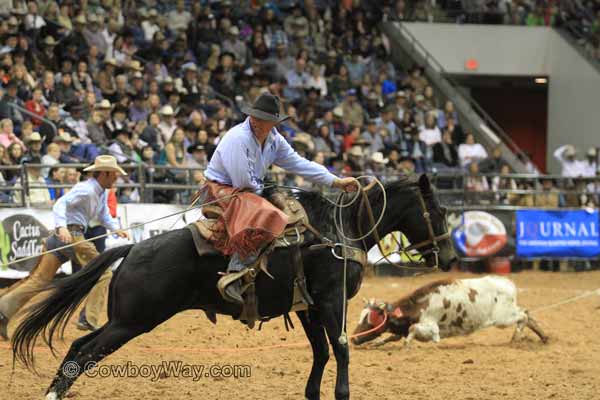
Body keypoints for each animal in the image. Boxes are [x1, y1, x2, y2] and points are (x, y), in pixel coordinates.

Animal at [11, 174, 458, 400]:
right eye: (437, 210)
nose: (451, 259)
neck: (340, 230)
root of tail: (134, 247)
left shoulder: (307, 306)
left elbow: (320, 352)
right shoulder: (330, 301)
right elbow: (343, 348)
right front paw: (342, 393)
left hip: (126, 318)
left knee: (76, 347)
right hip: (134, 320)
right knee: (85, 352)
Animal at [352, 276, 548, 346]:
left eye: (372, 319)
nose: (353, 338)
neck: (421, 305)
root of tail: (508, 283)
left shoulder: (431, 326)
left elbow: (412, 330)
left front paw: (408, 344)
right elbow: (394, 335)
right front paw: (378, 343)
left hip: (503, 318)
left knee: (523, 315)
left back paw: (516, 338)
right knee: (527, 314)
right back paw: (544, 337)